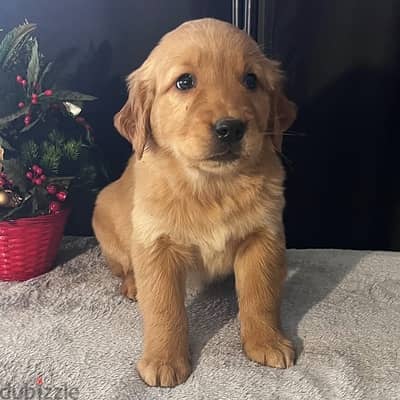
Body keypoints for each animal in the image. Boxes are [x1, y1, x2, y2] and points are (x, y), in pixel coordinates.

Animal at [92, 17, 296, 386]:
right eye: (184, 81)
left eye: (251, 80)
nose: (231, 128)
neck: (212, 186)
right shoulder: (155, 243)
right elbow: (163, 307)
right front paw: (163, 359)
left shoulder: (264, 237)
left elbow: (261, 294)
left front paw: (267, 341)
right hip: (104, 217)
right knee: (124, 268)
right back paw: (133, 285)